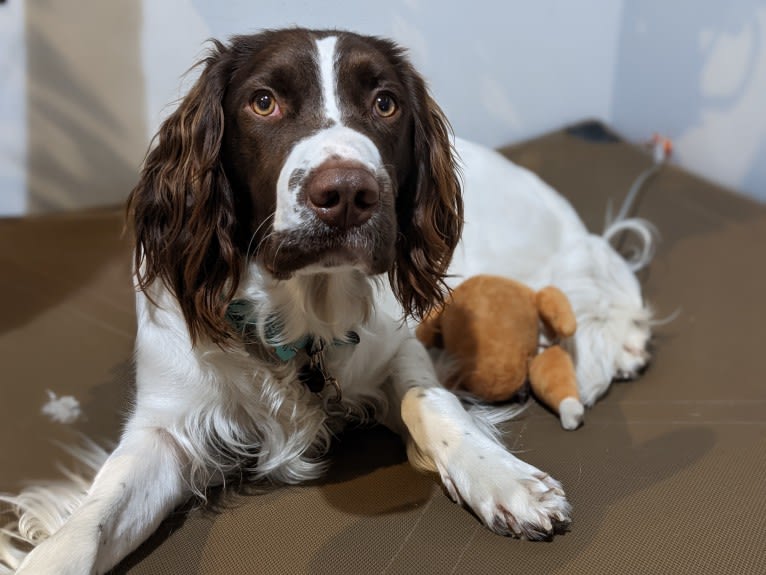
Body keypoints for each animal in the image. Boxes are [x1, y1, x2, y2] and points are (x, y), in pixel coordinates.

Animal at [3, 28, 656, 575]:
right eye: (263, 101)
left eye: (386, 103)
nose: (346, 194)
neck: (297, 313)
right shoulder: (165, 424)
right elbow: (92, 517)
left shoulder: (400, 351)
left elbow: (433, 403)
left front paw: (504, 479)